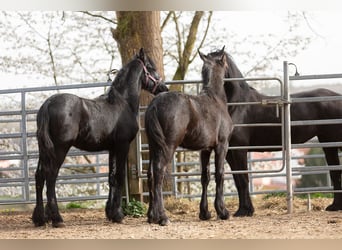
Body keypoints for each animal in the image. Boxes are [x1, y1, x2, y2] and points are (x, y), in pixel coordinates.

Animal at [32, 47, 169, 228]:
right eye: (151, 67)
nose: (164, 88)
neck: (122, 103)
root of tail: (47, 104)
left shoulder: (111, 148)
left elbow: (111, 177)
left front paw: (110, 213)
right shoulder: (123, 145)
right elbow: (119, 176)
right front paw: (118, 215)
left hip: (44, 149)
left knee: (39, 176)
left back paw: (40, 218)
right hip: (60, 148)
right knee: (51, 177)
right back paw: (57, 219)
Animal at [146, 46, 234, 226]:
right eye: (226, 62)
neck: (215, 100)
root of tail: (155, 104)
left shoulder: (205, 149)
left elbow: (205, 177)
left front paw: (205, 212)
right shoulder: (222, 146)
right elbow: (220, 174)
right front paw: (222, 211)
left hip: (153, 146)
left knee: (150, 174)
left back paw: (151, 216)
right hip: (168, 147)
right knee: (159, 173)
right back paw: (162, 217)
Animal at [204, 48, 342, 217]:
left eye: (217, 67)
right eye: (203, 69)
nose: (207, 89)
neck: (238, 106)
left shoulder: (239, 150)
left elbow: (243, 179)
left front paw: (245, 210)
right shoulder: (230, 151)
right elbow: (238, 179)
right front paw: (243, 209)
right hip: (328, 144)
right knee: (335, 172)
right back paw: (335, 206)